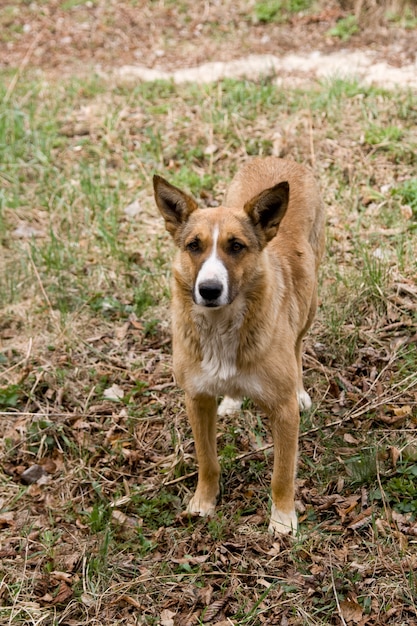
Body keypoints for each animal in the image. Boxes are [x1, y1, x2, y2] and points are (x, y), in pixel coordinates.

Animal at [153, 156, 324, 532]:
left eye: (236, 246)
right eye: (194, 246)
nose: (209, 290)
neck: (221, 327)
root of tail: (279, 159)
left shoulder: (283, 413)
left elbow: (282, 474)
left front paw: (282, 520)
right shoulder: (196, 399)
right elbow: (207, 460)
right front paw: (204, 502)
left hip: (309, 303)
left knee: (298, 345)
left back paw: (300, 389)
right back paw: (232, 400)